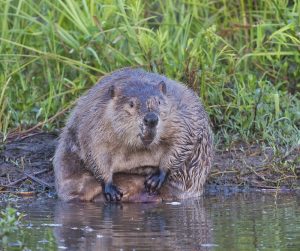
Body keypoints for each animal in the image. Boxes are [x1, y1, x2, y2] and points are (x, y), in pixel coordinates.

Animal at [54, 68, 213, 202]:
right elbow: (94, 151)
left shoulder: (181, 115)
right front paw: (111, 190)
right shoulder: (94, 121)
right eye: (131, 104)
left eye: (159, 101)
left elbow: (184, 139)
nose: (151, 119)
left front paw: (155, 179)